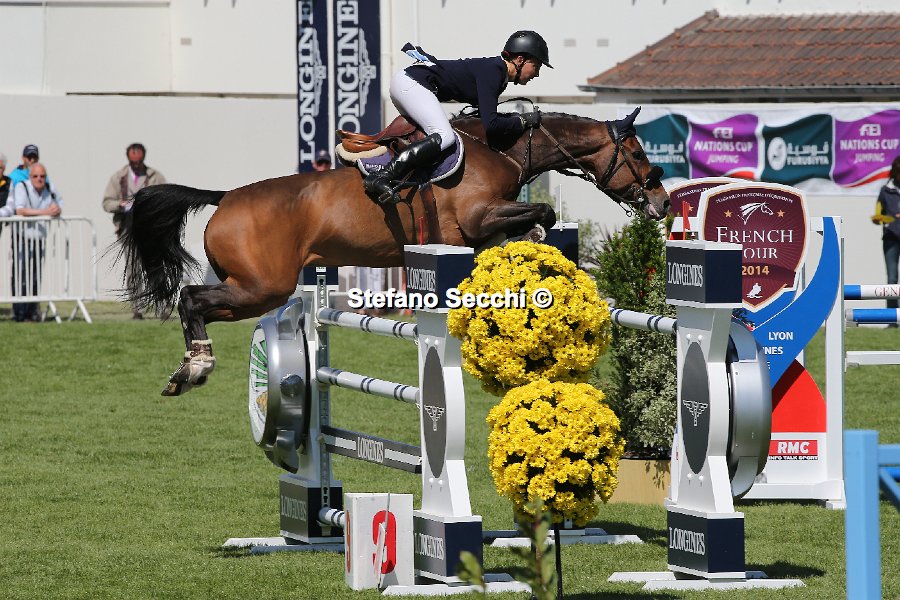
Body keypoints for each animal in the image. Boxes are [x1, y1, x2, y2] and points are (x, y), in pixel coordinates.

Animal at [117, 107, 670, 396]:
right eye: (638, 152)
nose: (663, 202)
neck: (504, 148)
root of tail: (225, 197)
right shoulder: (477, 218)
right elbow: (542, 215)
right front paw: (533, 237)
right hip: (261, 287)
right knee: (191, 300)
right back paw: (195, 369)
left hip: (254, 288)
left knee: (195, 300)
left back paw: (188, 370)